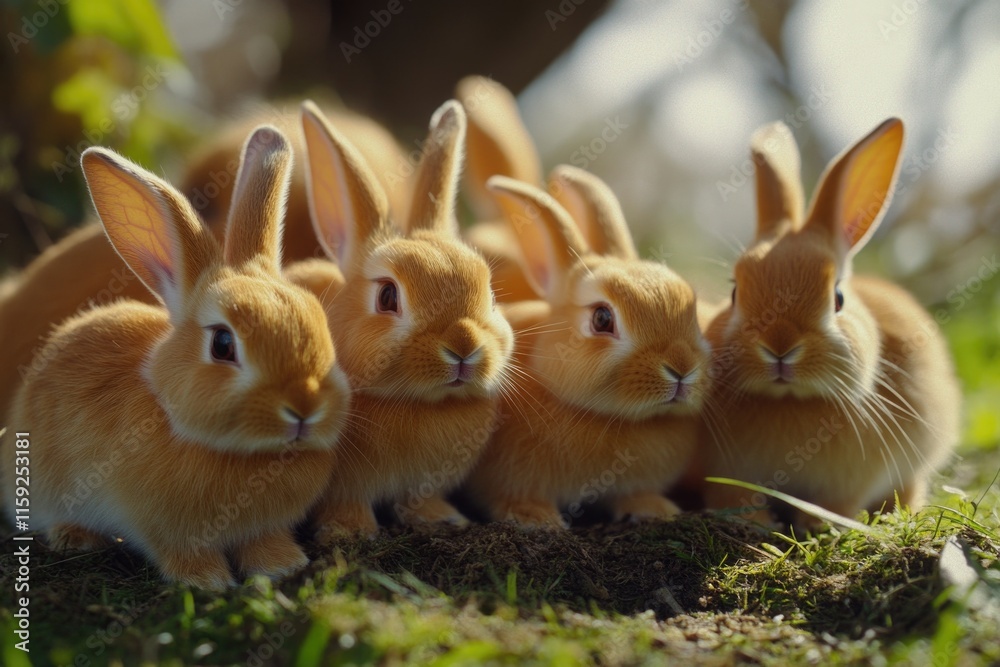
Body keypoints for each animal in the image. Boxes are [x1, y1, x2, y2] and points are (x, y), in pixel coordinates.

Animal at [0, 126, 350, 590]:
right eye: (223, 344)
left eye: (320, 324)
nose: (304, 407)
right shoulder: (161, 528)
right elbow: (181, 553)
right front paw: (207, 581)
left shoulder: (264, 526)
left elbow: (264, 541)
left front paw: (283, 565)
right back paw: (73, 536)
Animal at [285, 99, 515, 540]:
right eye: (388, 297)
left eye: (492, 295)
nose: (463, 347)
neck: (417, 404)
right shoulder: (346, 484)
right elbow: (347, 503)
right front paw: (350, 531)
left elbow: (420, 501)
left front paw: (443, 518)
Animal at [700, 118, 961, 530]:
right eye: (734, 292)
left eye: (837, 297)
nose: (779, 345)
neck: (789, 400)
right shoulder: (727, 471)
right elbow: (733, 496)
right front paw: (758, 522)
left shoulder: (851, 482)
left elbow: (836, 503)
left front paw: (817, 525)